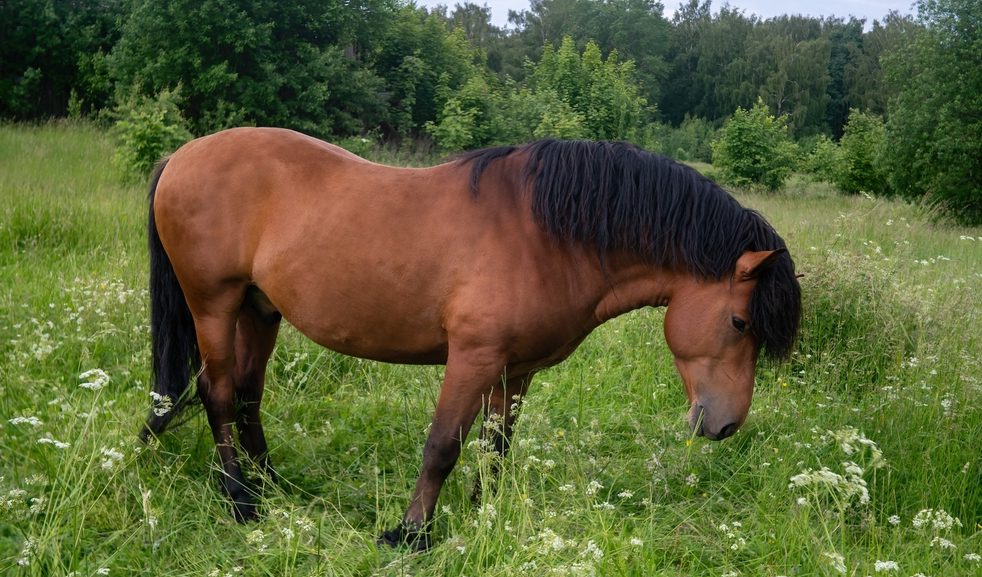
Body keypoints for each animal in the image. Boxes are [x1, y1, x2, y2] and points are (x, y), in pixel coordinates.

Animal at [140, 127, 801, 550]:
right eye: (741, 323)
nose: (725, 425)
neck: (546, 234)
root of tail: (183, 155)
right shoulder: (472, 359)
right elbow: (442, 446)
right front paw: (410, 535)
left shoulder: (517, 370)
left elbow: (495, 447)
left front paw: (488, 517)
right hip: (214, 305)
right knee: (218, 393)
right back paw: (241, 502)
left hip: (260, 310)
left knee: (247, 394)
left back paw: (273, 486)